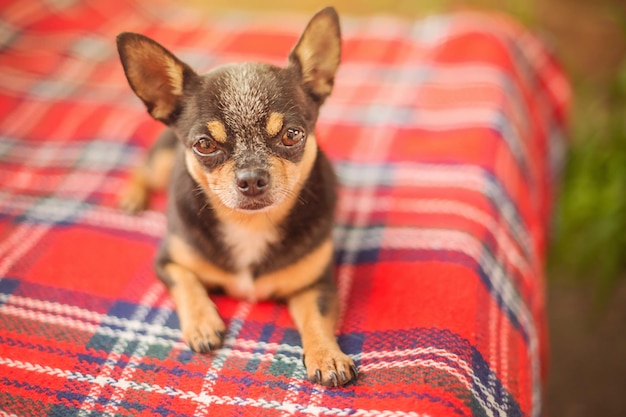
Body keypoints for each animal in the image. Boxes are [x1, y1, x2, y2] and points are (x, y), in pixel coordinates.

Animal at [113, 6, 356, 386]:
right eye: (204, 145)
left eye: (292, 135)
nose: (252, 178)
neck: (249, 224)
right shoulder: (168, 261)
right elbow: (187, 283)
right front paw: (202, 323)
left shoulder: (315, 284)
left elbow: (316, 317)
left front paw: (327, 355)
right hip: (163, 160)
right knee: (143, 168)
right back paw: (133, 198)